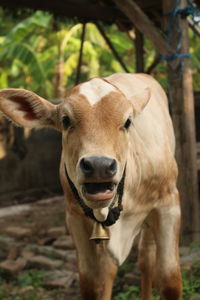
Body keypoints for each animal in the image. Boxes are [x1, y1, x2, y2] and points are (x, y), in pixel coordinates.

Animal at [0, 73, 181, 300]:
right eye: (65, 120)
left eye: (127, 122)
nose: (99, 165)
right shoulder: (75, 218)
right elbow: (92, 283)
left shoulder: (168, 205)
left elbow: (169, 279)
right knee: (112, 268)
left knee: (145, 258)